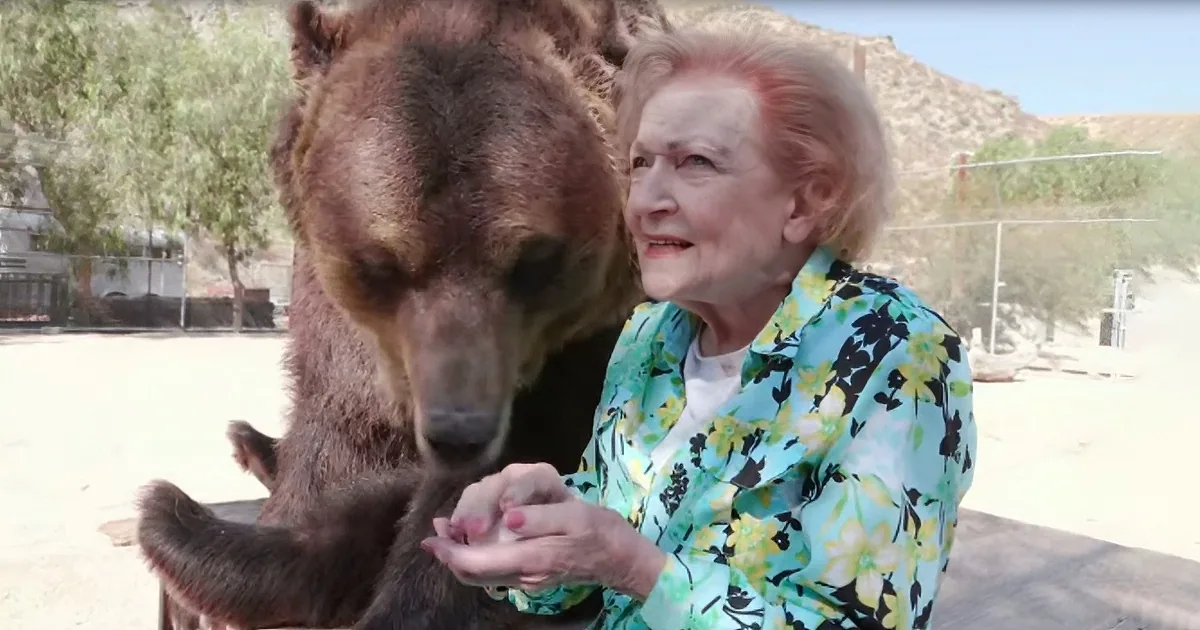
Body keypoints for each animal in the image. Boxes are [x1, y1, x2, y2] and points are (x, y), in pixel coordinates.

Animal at [133, 0, 670, 628]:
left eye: (536, 260)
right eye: (381, 263)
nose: (458, 432)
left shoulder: (591, 338)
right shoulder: (337, 322)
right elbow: (339, 442)